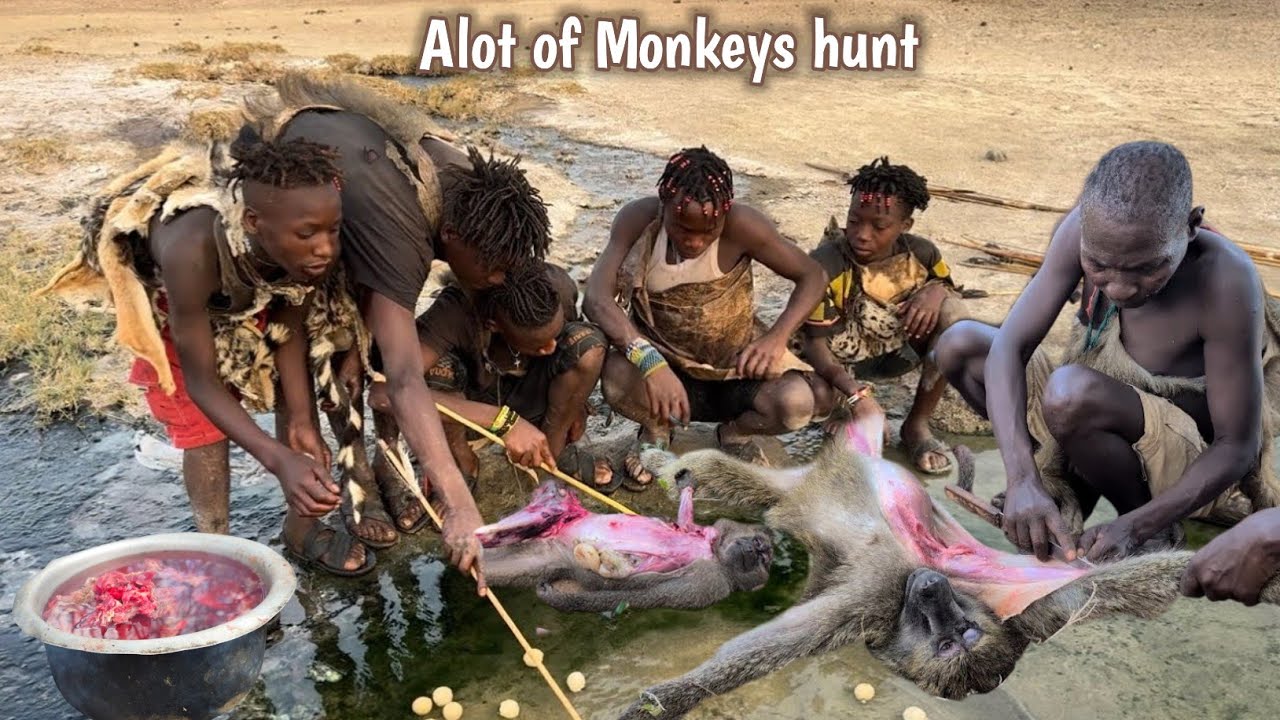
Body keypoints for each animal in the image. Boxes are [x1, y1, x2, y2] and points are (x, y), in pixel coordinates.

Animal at [476, 479, 773, 613]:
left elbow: (635, 592)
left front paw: (557, 595)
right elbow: (685, 521)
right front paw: (687, 492)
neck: (714, 553)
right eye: (760, 545)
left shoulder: (710, 583)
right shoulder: (711, 532)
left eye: (763, 559)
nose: (754, 549)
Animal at [618, 399, 1280, 719]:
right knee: (713, 476)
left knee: (740, 482)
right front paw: (668, 699)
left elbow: (1132, 587)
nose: (932, 586)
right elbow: (762, 651)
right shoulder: (875, 601)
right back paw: (666, 463)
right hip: (802, 489)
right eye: (944, 640)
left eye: (961, 634)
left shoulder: (1029, 614)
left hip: (805, 483)